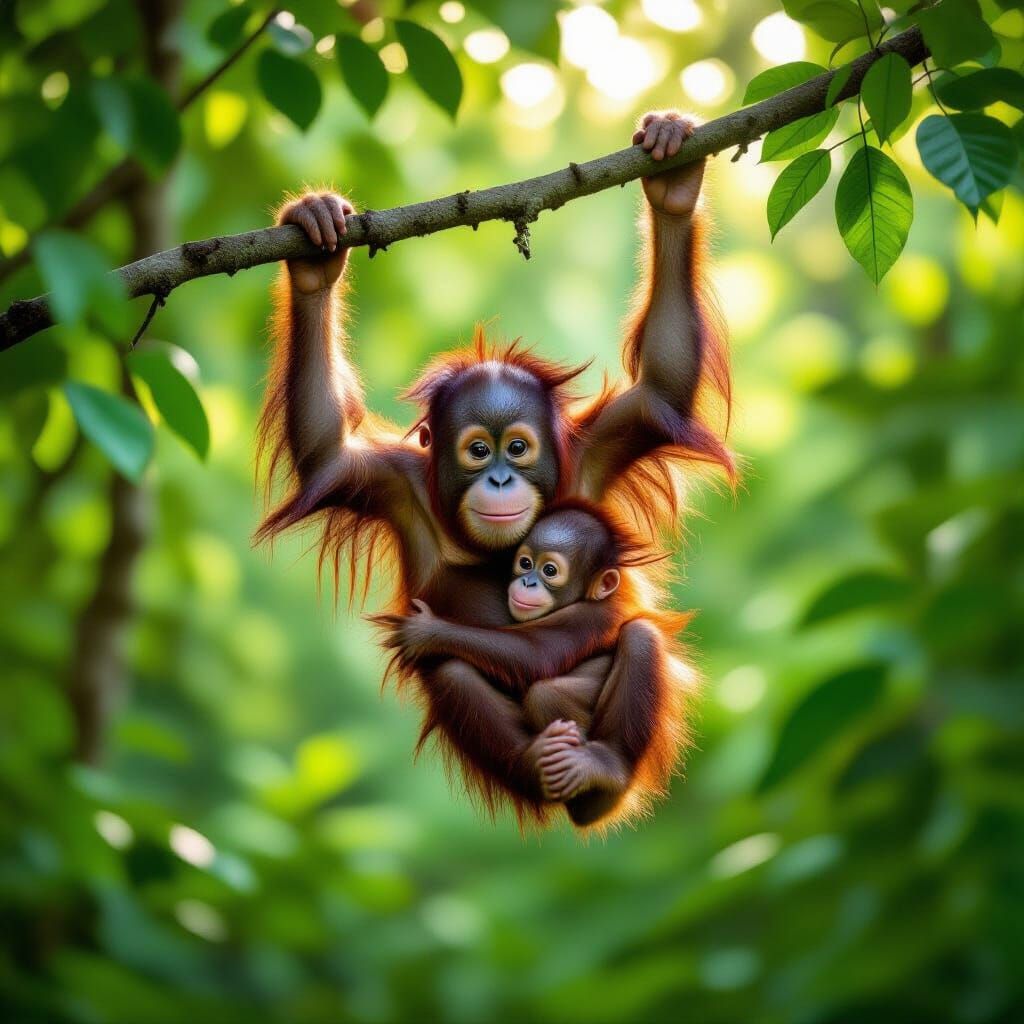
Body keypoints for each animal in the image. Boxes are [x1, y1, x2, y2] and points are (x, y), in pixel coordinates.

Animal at [373, 501, 692, 825]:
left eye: (549, 570)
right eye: (525, 563)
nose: (527, 581)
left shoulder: (590, 616)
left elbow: (538, 652)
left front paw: (427, 631)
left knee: (636, 637)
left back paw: (606, 769)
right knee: (454, 673)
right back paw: (537, 763)